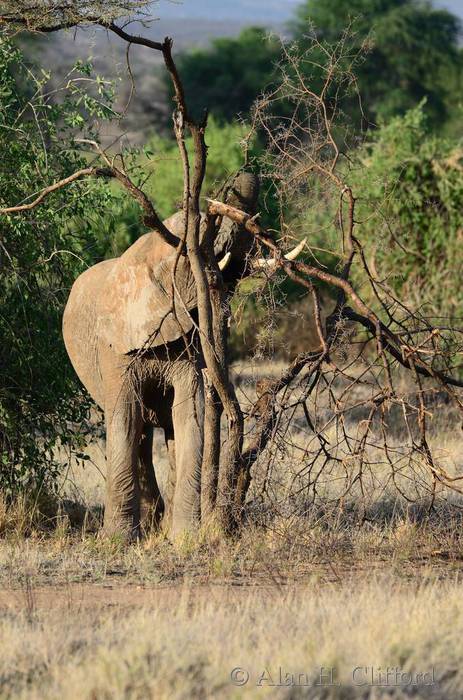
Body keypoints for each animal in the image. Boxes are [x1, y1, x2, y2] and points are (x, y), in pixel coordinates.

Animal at [63, 172, 261, 539]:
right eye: (189, 243)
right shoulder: (114, 349)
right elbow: (124, 419)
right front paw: (117, 540)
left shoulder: (188, 348)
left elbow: (189, 416)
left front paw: (185, 537)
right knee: (137, 428)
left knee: (163, 429)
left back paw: (160, 524)